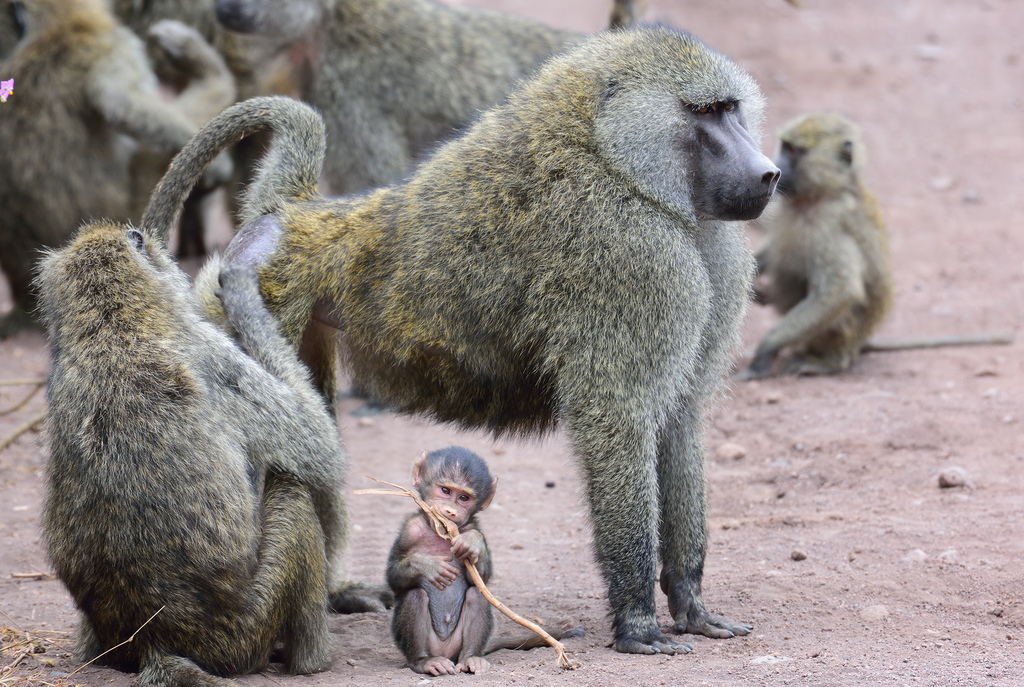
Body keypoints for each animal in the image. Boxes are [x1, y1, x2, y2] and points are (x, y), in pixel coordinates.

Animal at [386, 447, 584, 675]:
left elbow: (482, 581)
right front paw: (429, 566)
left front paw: (473, 543)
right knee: (415, 596)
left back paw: (471, 658)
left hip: (459, 646)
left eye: (464, 498)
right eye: (445, 491)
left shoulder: (472, 527)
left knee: (477, 596)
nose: (450, 511)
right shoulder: (410, 530)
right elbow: (395, 581)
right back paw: (424, 661)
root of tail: (448, 654)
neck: (439, 533)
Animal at [738, 112, 895, 379]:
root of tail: (860, 342)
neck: (822, 193)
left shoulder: (830, 223)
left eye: (793, 152)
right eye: (785, 146)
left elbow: (840, 291)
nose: (775, 168)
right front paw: (753, 285)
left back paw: (829, 361)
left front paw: (764, 352)